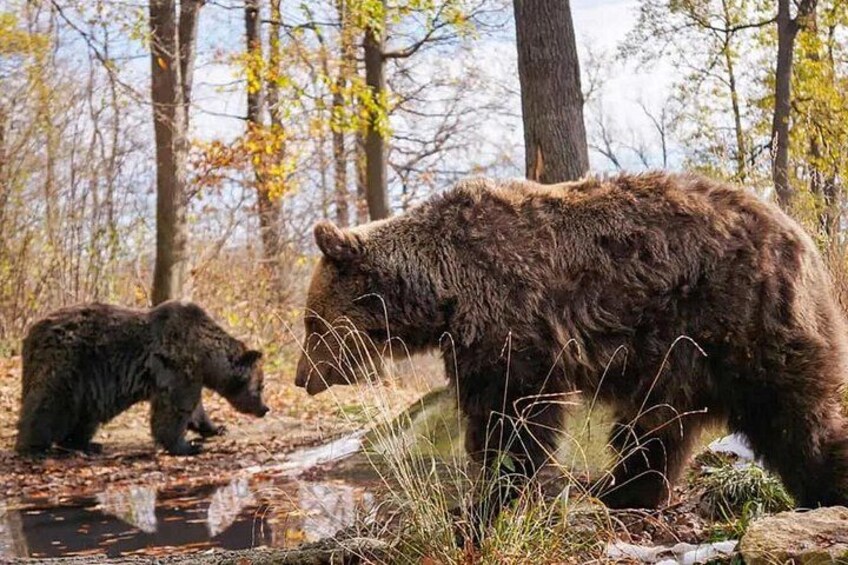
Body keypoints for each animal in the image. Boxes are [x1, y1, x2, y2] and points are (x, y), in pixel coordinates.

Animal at [15, 300, 269, 456]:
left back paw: (87, 444)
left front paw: (217, 428)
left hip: (87, 384)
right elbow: (174, 409)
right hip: (69, 363)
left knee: (85, 416)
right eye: (261, 385)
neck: (205, 356)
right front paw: (186, 446)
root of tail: (31, 333)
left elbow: (195, 408)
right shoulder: (175, 367)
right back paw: (35, 446)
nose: (265, 409)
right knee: (49, 403)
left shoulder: (189, 374)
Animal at [294, 172, 848, 528]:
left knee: (793, 415)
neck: (444, 292)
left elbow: (512, 416)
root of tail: (802, 238)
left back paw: (826, 487)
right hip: (678, 356)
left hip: (739, 320)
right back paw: (620, 491)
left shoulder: (511, 319)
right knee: (656, 428)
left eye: (311, 323)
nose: (303, 377)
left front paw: (485, 498)